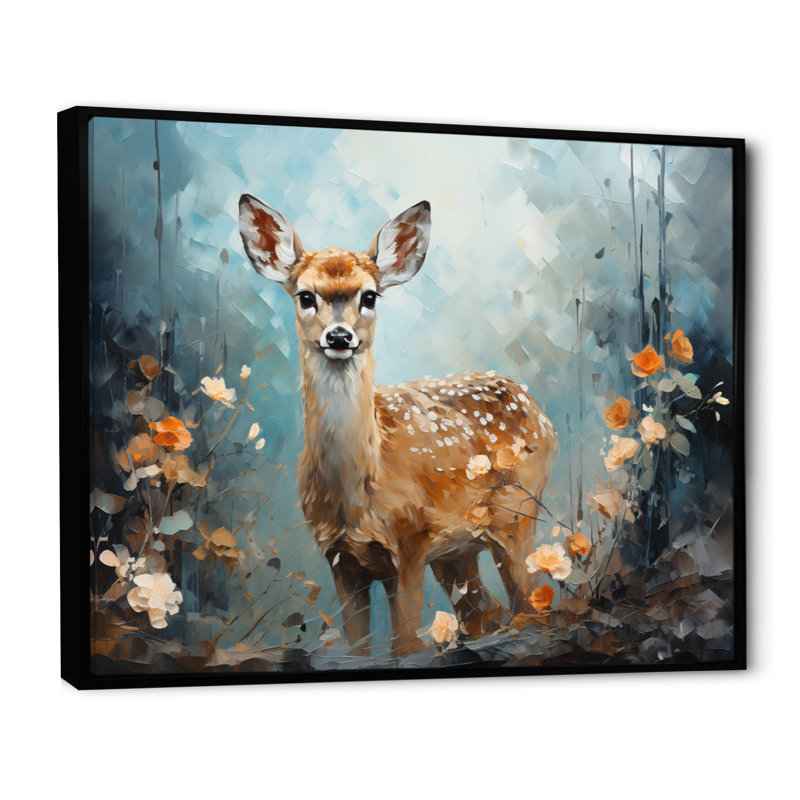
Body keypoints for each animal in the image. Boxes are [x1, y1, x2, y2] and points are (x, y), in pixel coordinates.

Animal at [239, 195, 557, 656]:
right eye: (305, 296)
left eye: (370, 296)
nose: (339, 336)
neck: (358, 494)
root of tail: (534, 404)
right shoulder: (339, 558)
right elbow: (359, 646)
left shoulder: (409, 545)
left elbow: (405, 645)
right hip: (458, 552)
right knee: (487, 615)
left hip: (517, 513)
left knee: (533, 608)